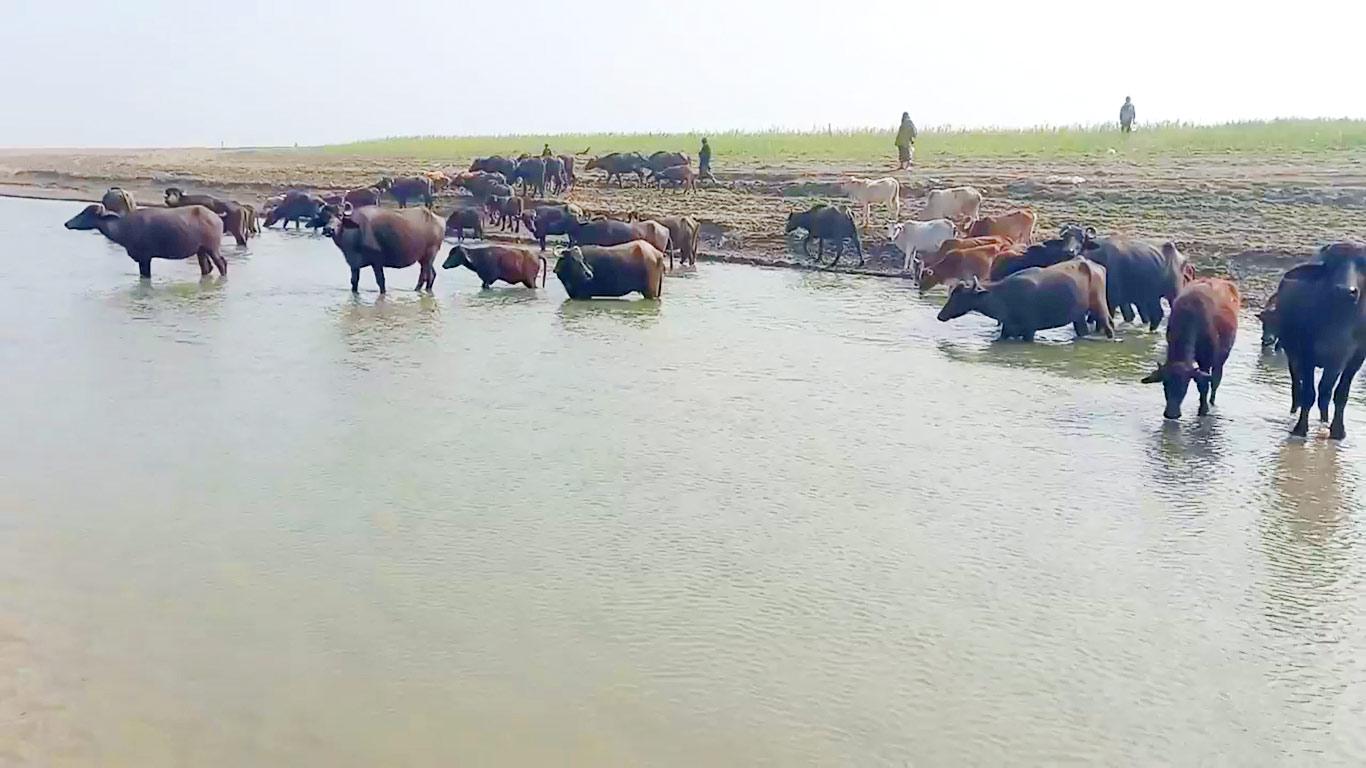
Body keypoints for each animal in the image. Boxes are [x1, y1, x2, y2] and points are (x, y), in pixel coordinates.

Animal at [64, 202, 226, 276]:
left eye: (86, 213)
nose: (67, 223)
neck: (124, 227)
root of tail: (216, 217)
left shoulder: (145, 258)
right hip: (201, 250)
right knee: (206, 268)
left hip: (212, 248)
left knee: (221, 264)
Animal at [939, 258, 1120, 338]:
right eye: (952, 293)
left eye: (960, 297)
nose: (940, 315)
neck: (1003, 297)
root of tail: (1097, 267)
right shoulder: (1007, 329)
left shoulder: (1029, 330)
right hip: (1079, 316)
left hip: (1100, 306)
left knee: (1109, 325)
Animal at [1267, 241, 1366, 440]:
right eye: (1331, 264)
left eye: (1363, 264)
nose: (1345, 291)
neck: (1339, 321)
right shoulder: (1306, 353)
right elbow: (1309, 393)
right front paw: (1300, 428)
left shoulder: (1354, 358)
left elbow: (1339, 394)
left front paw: (1338, 431)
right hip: (1291, 352)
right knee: (1297, 382)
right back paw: (1295, 408)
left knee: (1325, 393)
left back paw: (1324, 419)